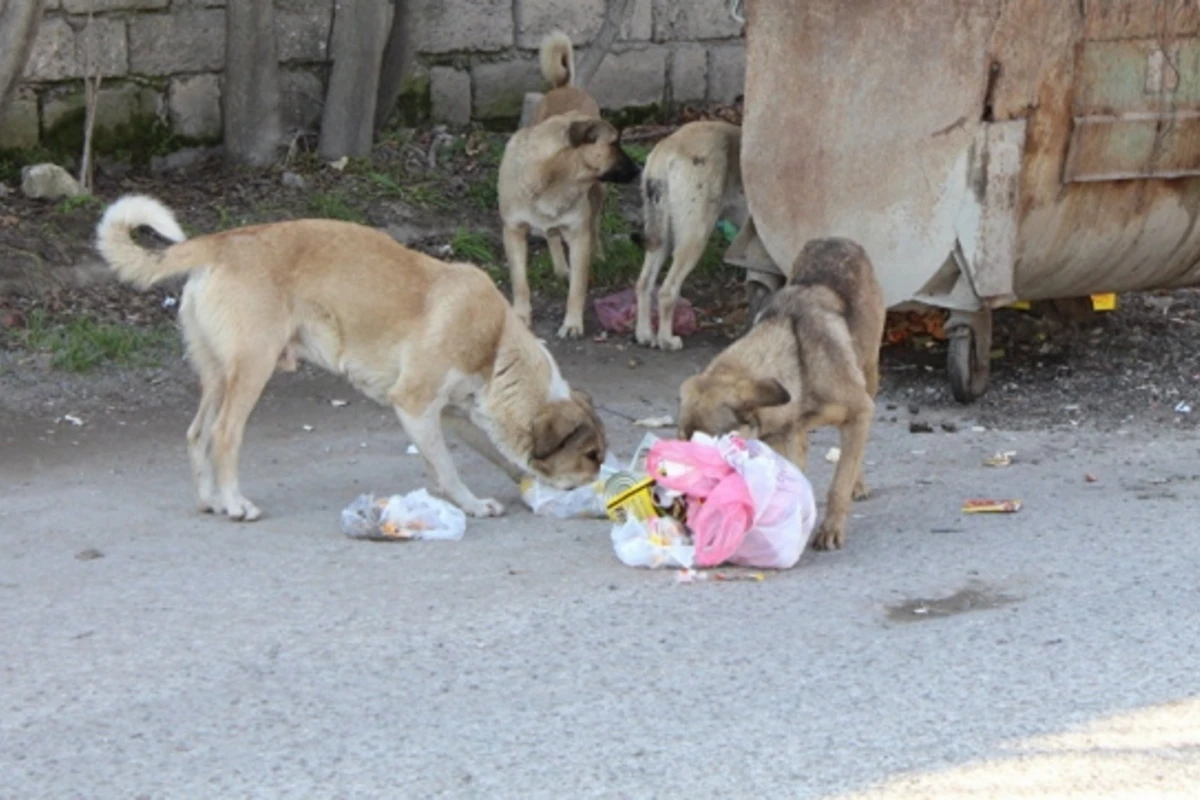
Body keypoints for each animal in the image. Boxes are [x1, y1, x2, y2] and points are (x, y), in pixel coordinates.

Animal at [91, 194, 609, 520]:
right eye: (590, 456)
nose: (606, 492)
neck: (497, 345)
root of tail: (220, 242)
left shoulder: (454, 413)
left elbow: (478, 455)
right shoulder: (414, 405)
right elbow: (447, 467)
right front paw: (473, 503)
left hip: (218, 374)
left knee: (197, 433)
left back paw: (210, 501)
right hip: (252, 369)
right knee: (222, 435)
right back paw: (235, 504)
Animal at [633, 119, 744, 350]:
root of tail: (667, 145)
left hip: (661, 239)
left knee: (644, 283)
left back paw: (645, 334)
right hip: (695, 237)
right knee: (667, 291)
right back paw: (667, 341)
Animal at [681, 237, 888, 551]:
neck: (798, 365)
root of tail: (835, 239)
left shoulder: (860, 411)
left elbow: (839, 484)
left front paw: (830, 527)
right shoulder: (782, 434)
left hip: (869, 373)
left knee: (853, 454)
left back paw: (857, 482)